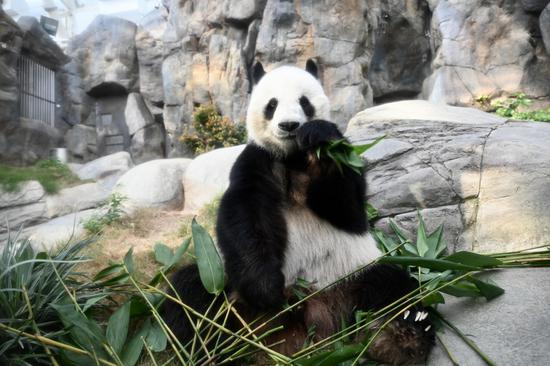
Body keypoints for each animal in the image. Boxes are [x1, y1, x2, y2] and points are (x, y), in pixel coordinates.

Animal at [164, 59, 436, 364]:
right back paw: (215, 348)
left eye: (304, 102)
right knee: (190, 296)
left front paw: (320, 140)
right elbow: (243, 219)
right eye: (272, 104)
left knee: (395, 287)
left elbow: (348, 207)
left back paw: (402, 336)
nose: (289, 125)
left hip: (352, 274)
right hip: (224, 285)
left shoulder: (345, 165)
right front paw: (267, 289)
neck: (292, 157)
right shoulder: (256, 162)